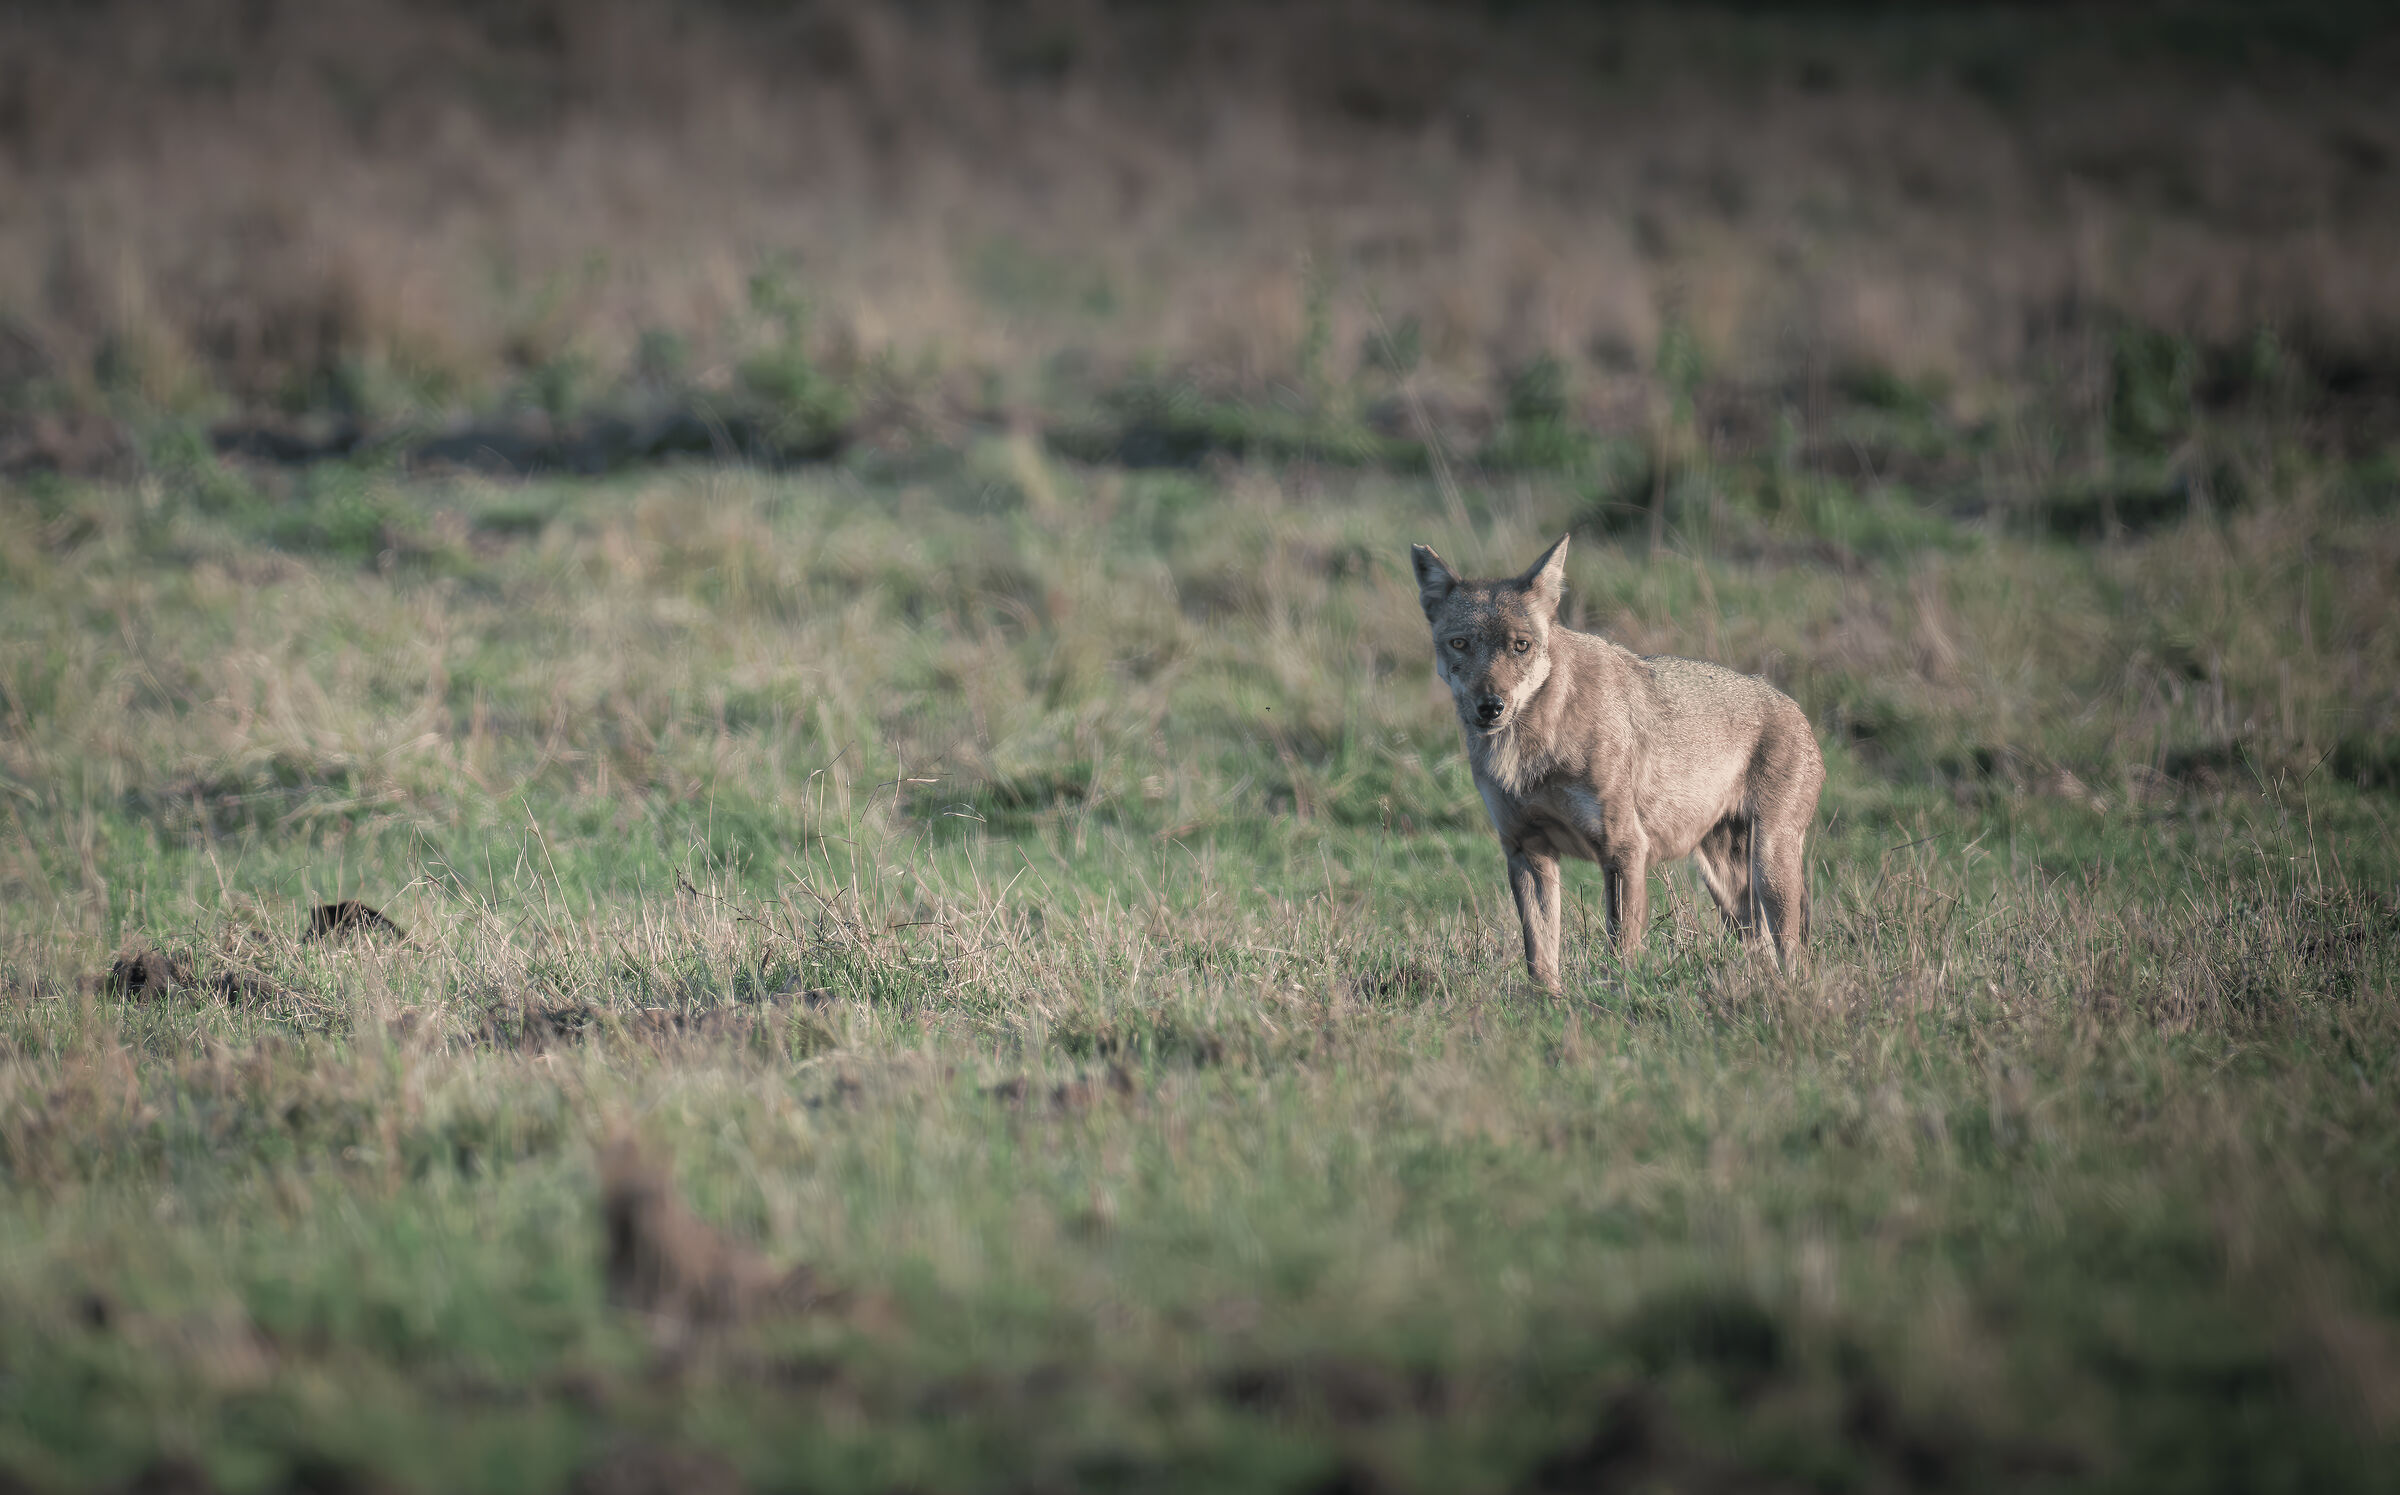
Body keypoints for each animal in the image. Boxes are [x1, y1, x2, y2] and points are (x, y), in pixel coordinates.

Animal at [1411, 536, 1824, 990]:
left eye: (1521, 645)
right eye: (1460, 643)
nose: (1491, 707)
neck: (1531, 750)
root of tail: (1793, 707)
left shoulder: (1624, 849)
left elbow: (1621, 948)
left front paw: (1623, 997)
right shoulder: (1526, 849)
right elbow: (1539, 955)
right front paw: (1547, 1003)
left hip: (1769, 866)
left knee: (1793, 954)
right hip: (1727, 886)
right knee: (1763, 952)